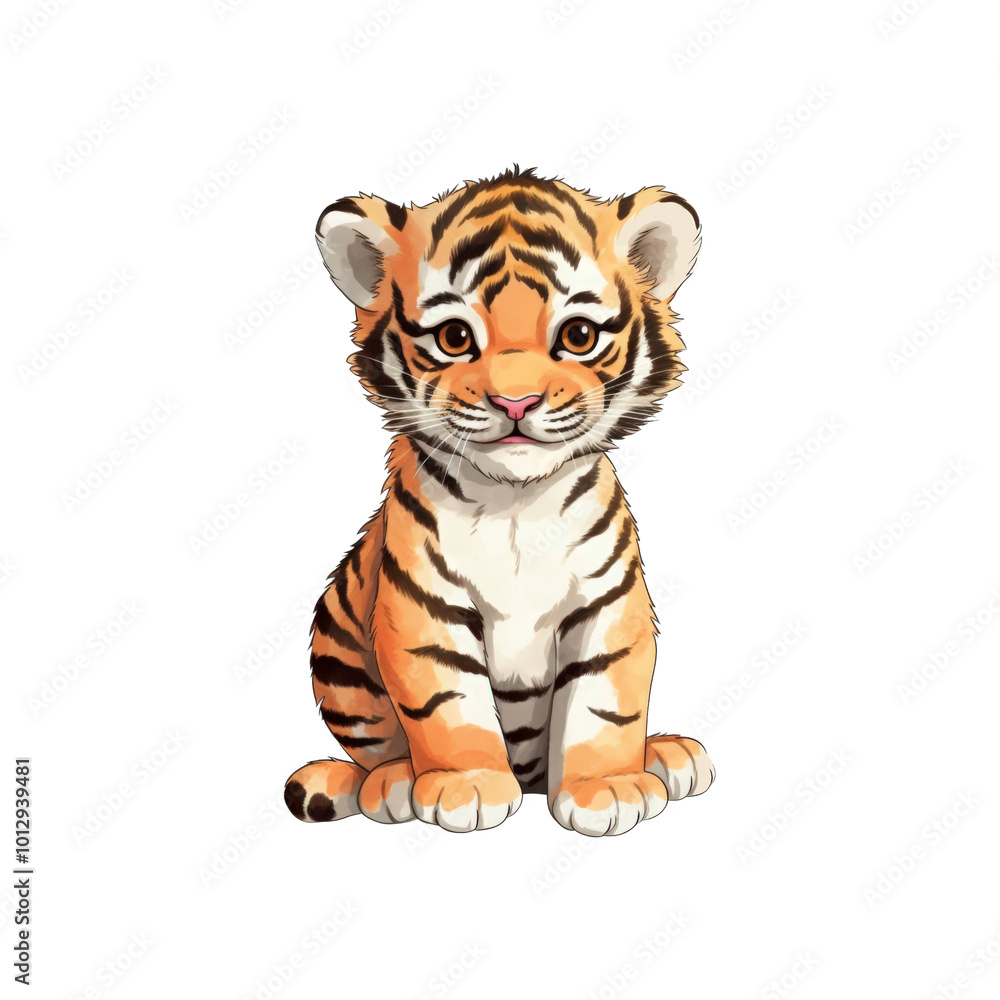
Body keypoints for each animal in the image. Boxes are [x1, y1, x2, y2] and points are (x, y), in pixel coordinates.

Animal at [283, 167, 715, 837]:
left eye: (578, 336)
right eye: (455, 337)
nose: (516, 402)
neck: (518, 504)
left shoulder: (609, 605)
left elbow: (604, 706)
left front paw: (606, 788)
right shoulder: (422, 610)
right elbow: (446, 703)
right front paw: (467, 786)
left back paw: (669, 755)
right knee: (375, 752)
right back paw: (392, 783)